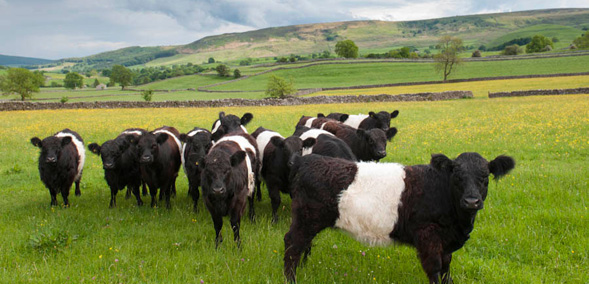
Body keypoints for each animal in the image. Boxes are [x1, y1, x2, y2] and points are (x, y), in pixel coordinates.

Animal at [282, 153, 512, 284]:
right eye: (457, 176)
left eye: (485, 177)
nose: (472, 201)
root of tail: (305, 160)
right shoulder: (428, 235)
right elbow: (435, 268)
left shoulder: (446, 241)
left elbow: (446, 267)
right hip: (306, 218)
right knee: (293, 244)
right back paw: (291, 279)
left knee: (303, 245)